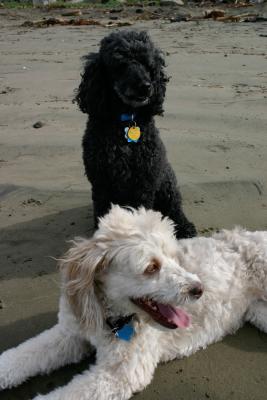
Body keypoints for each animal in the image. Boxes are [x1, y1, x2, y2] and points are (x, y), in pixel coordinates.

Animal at [0, 206, 267, 400]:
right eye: (151, 267)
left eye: (174, 257)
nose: (199, 288)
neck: (109, 319)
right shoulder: (70, 334)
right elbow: (24, 354)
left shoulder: (121, 374)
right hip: (258, 312)